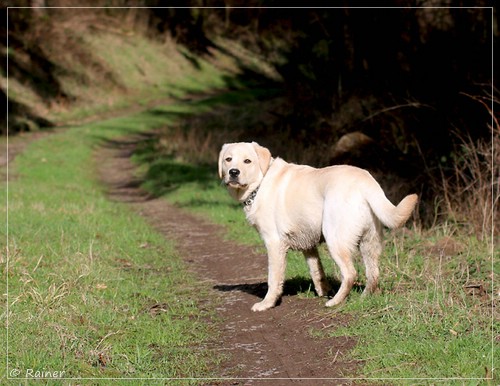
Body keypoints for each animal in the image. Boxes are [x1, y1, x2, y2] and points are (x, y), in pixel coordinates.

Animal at [219, 141, 418, 310]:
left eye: (247, 161)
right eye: (228, 159)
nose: (233, 172)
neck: (260, 183)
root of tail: (365, 181)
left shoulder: (274, 244)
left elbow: (273, 279)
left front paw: (267, 304)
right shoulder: (308, 244)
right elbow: (317, 271)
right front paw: (323, 291)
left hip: (335, 239)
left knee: (350, 273)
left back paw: (335, 301)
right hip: (370, 243)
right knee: (373, 274)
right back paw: (364, 299)